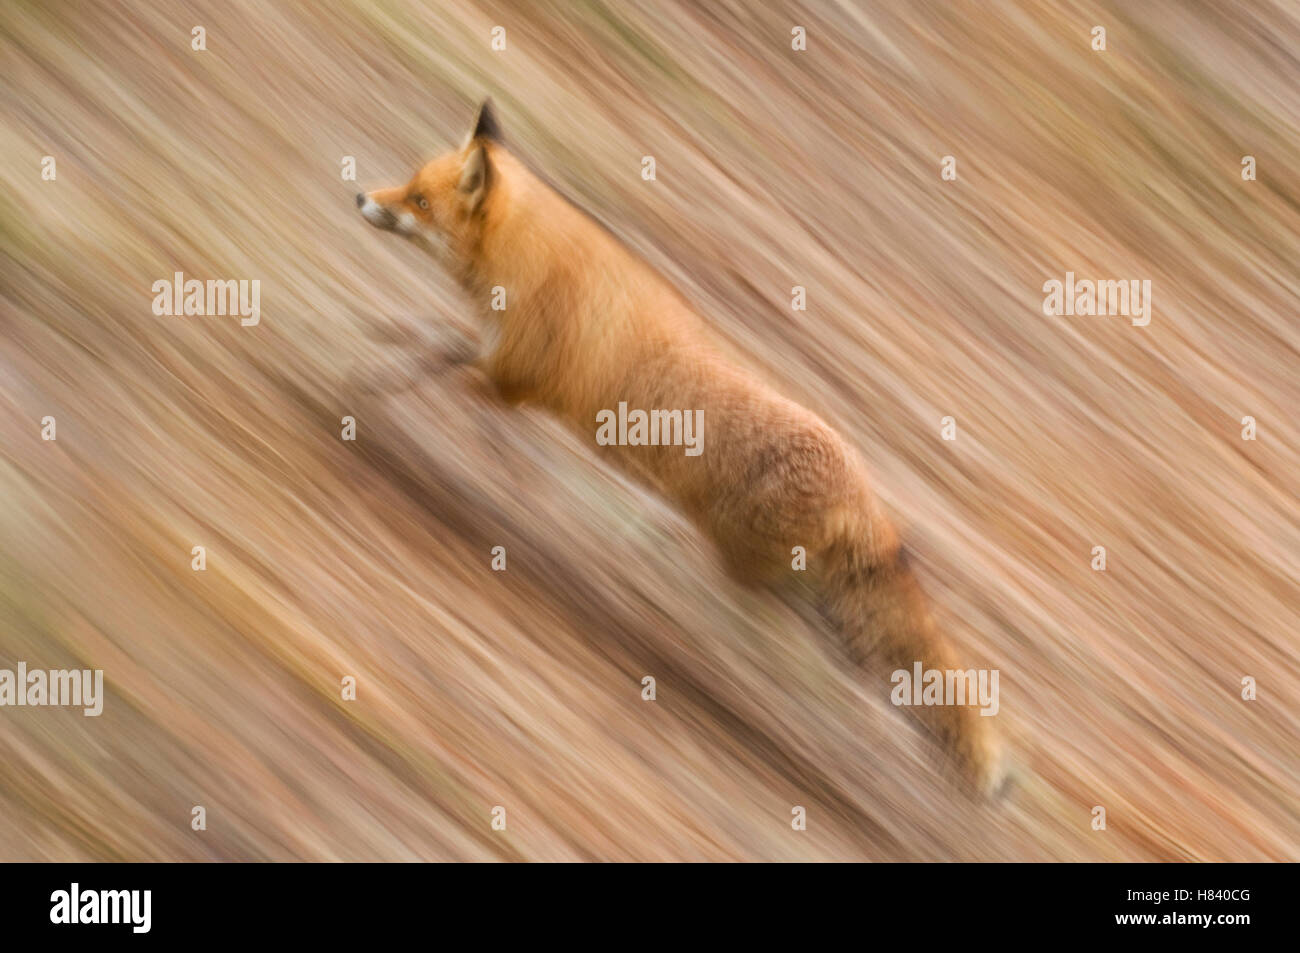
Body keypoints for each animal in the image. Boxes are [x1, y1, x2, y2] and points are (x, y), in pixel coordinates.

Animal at [357, 100, 1006, 794]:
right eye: (409, 185)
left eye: (419, 200)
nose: (360, 196)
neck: (530, 268)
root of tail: (863, 490)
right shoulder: (498, 371)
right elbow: (434, 340)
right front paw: (376, 350)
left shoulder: (506, 385)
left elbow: (437, 351)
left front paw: (374, 371)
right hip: (799, 588)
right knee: (867, 671)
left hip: (754, 574)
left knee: (849, 677)